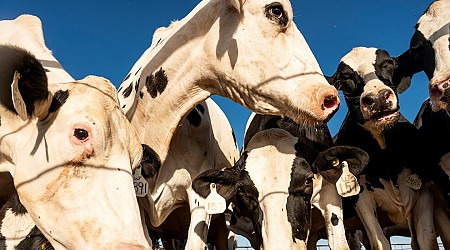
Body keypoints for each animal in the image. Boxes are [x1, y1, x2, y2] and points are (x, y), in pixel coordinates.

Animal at [328, 47, 438, 250]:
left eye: (387, 63)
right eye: (345, 77)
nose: (377, 98)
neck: (387, 161)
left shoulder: (424, 191)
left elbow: (427, 240)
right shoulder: (360, 197)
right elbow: (379, 242)